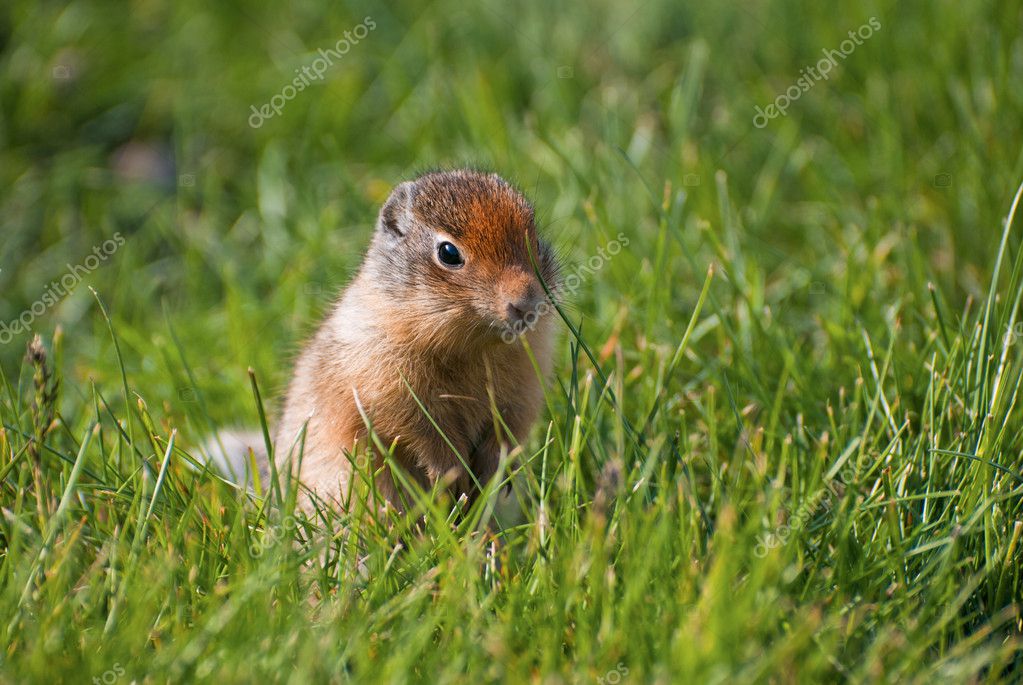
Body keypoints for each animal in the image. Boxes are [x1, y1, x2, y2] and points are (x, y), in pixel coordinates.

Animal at [215, 170, 564, 515]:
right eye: (448, 253)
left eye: (534, 239)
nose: (526, 304)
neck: (474, 345)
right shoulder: (390, 388)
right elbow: (422, 433)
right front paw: (451, 478)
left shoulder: (524, 390)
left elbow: (511, 428)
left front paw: (493, 473)